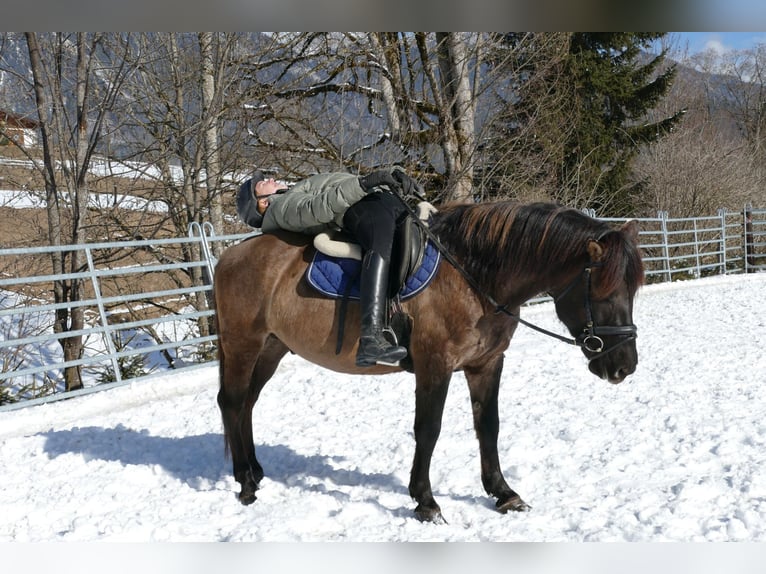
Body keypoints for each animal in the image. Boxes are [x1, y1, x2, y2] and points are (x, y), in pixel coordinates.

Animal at [213, 200, 644, 524]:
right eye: (603, 291)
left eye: (632, 290)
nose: (624, 366)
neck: (474, 276)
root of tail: (231, 254)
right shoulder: (434, 365)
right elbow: (428, 430)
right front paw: (425, 501)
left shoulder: (486, 364)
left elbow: (488, 426)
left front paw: (502, 493)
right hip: (243, 344)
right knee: (232, 402)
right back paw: (245, 484)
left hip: (271, 348)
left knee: (247, 403)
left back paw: (255, 470)